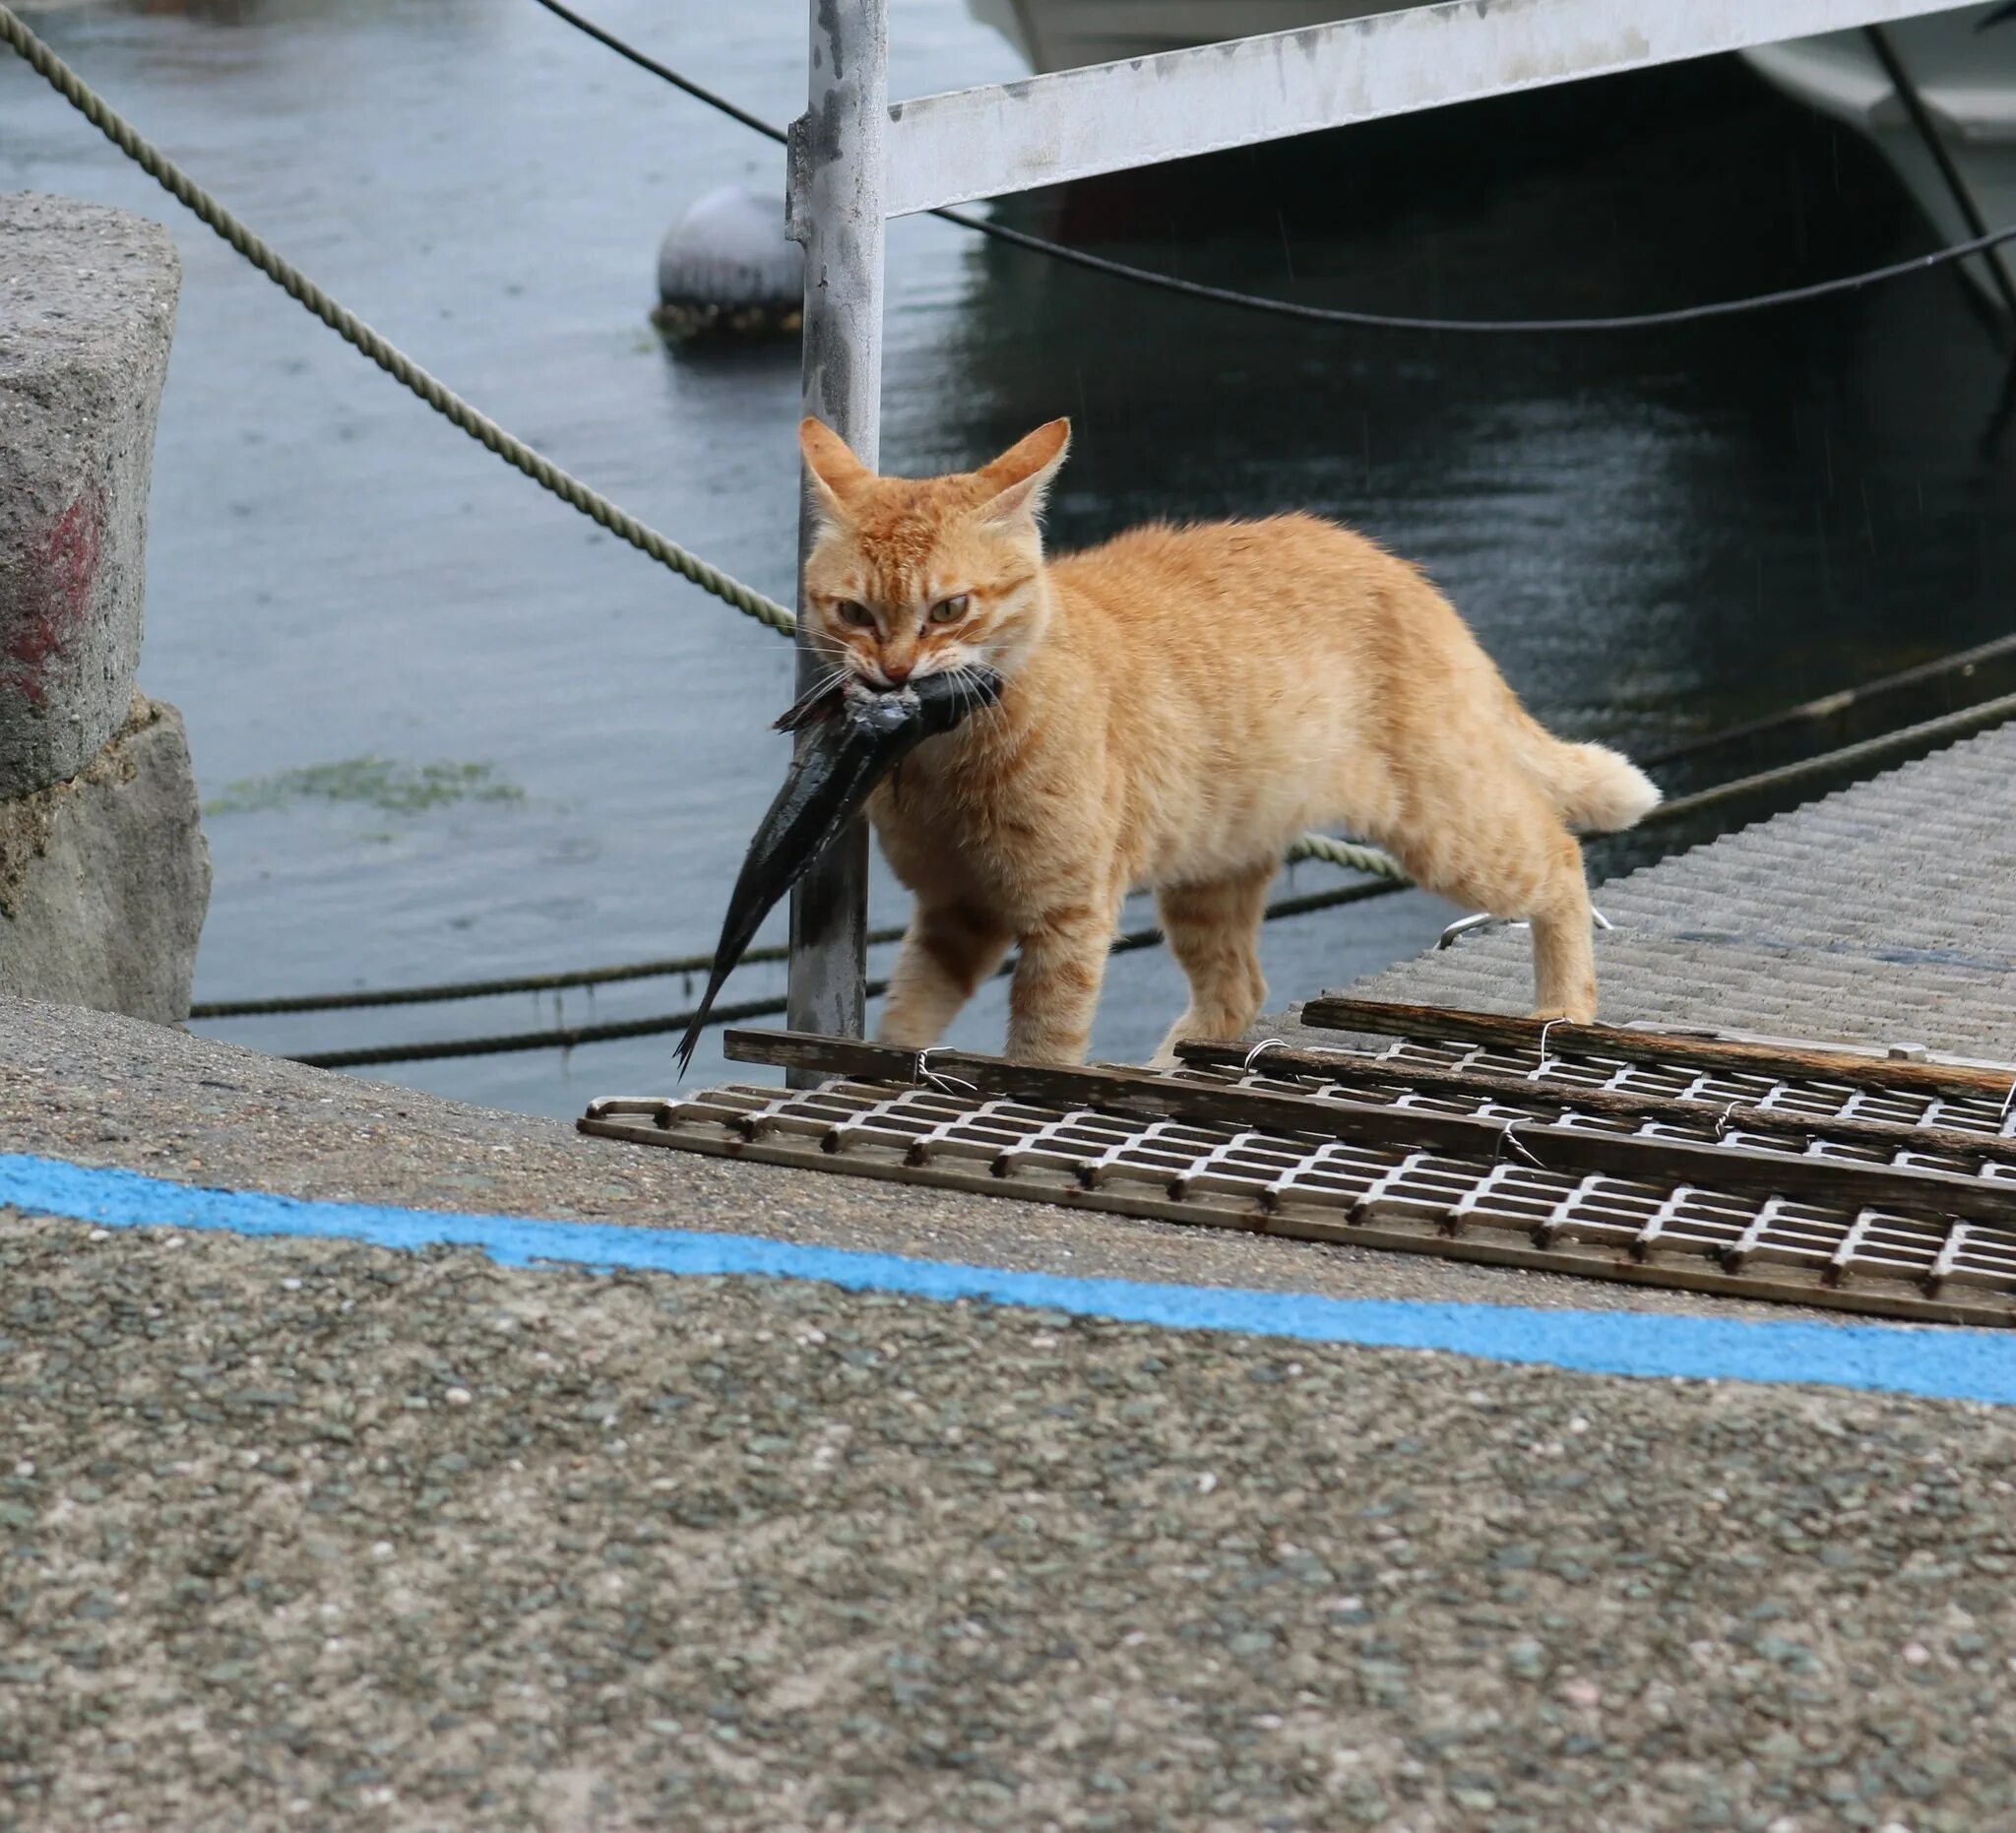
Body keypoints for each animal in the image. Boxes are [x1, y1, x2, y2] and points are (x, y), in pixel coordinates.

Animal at [793, 417, 1661, 1064]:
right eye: (854, 613)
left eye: (949, 609)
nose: (895, 673)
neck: (940, 758)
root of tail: (1404, 575)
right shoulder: (956, 910)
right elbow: (906, 1019)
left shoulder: (1065, 918)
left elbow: (1042, 1045)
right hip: (1211, 865)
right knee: (1238, 988)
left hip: (1448, 827)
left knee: (1559, 858)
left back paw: (1564, 1006)